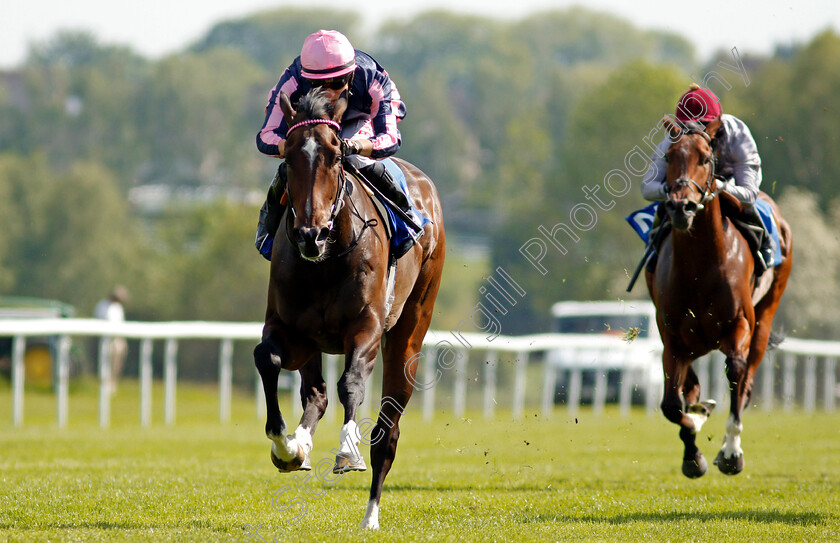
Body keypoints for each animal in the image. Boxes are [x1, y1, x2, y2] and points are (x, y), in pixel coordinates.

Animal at [254, 88, 446, 528]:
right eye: (288, 157)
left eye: (335, 155)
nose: (309, 234)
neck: (325, 260)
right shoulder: (292, 330)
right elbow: (267, 359)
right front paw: (285, 446)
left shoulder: (367, 328)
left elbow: (351, 384)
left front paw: (346, 451)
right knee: (316, 394)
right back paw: (300, 445)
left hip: (410, 330)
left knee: (387, 431)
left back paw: (371, 514)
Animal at [648, 117, 792, 478]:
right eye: (668, 157)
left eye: (704, 158)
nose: (681, 206)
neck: (700, 267)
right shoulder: (672, 337)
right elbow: (672, 405)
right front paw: (693, 450)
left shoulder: (739, 323)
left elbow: (736, 373)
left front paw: (730, 452)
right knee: (691, 386)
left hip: (766, 314)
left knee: (746, 379)